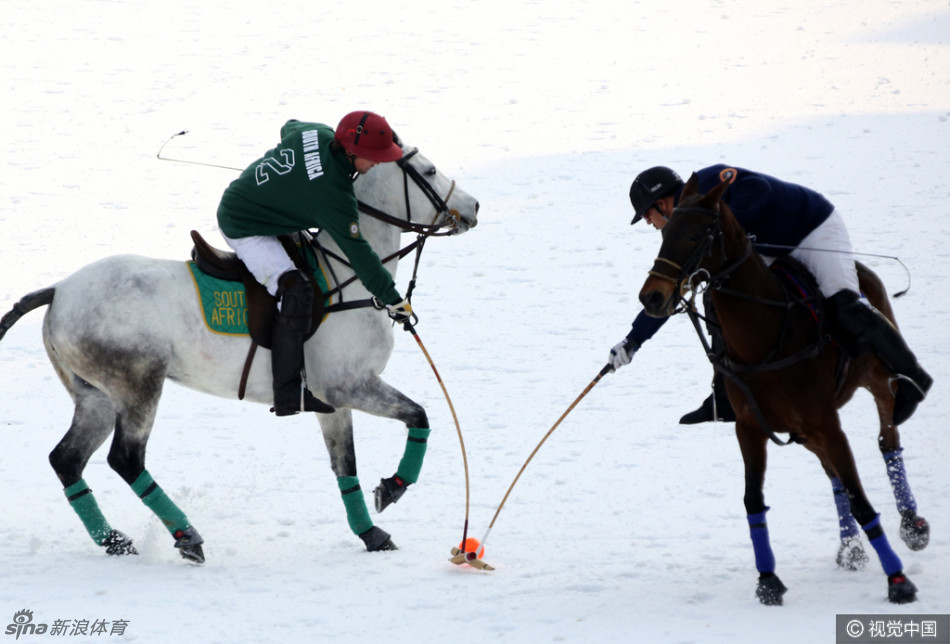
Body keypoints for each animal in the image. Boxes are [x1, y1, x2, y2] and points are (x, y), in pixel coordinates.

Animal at [0, 141, 476, 564]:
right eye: (430, 171)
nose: (473, 207)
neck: (346, 275)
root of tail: (58, 290)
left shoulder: (331, 400)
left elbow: (346, 466)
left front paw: (372, 533)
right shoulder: (351, 386)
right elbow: (419, 416)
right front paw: (393, 487)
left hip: (95, 395)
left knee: (67, 460)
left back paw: (114, 541)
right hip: (139, 384)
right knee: (126, 459)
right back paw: (186, 536)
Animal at [640, 174, 924, 608]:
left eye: (697, 234)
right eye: (665, 232)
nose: (652, 297)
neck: (767, 337)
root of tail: (862, 269)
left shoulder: (827, 423)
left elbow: (862, 501)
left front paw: (898, 581)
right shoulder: (750, 427)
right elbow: (753, 500)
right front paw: (768, 580)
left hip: (873, 380)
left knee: (887, 435)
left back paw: (912, 522)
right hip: (803, 431)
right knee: (835, 477)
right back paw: (850, 549)